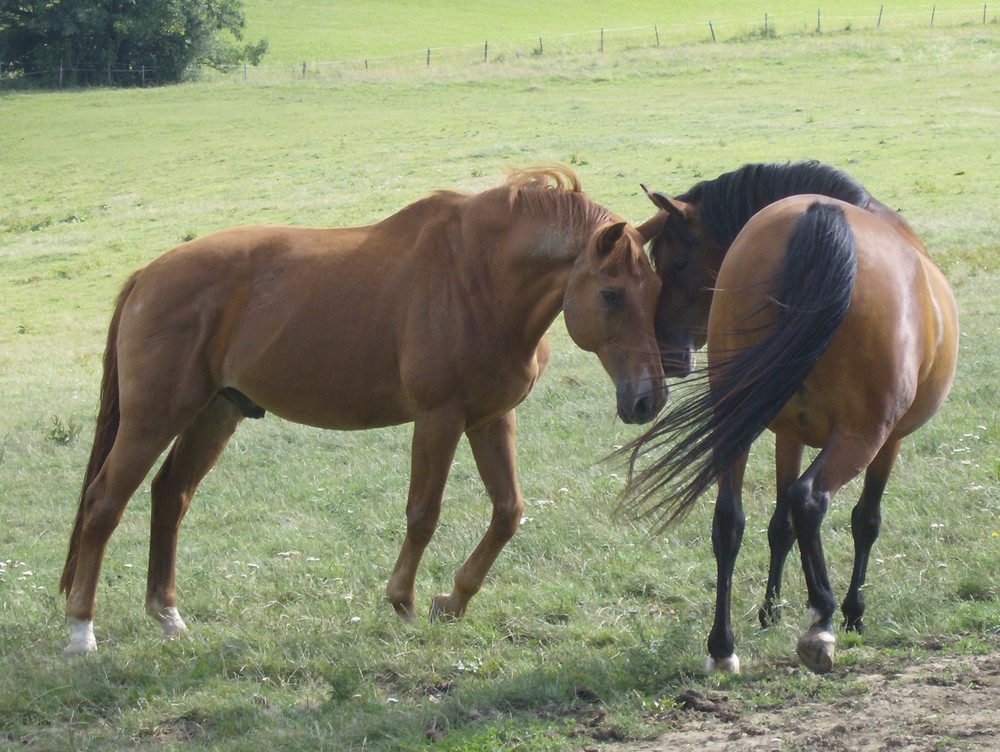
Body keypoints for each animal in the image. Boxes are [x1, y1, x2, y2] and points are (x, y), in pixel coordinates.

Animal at [58, 167, 664, 656]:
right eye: (611, 294)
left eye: (656, 288)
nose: (648, 399)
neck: (477, 276)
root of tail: (147, 275)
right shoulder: (439, 417)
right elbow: (423, 514)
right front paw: (403, 601)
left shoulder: (491, 419)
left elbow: (507, 512)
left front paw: (453, 600)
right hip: (154, 417)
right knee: (103, 504)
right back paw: (81, 631)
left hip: (214, 414)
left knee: (170, 496)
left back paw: (168, 616)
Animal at [624, 162, 960, 672]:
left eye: (674, 263)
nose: (665, 354)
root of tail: (819, 217)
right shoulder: (891, 440)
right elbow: (865, 520)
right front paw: (853, 612)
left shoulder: (787, 431)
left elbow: (778, 524)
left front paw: (770, 610)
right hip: (863, 435)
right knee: (811, 499)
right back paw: (821, 620)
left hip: (737, 419)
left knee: (729, 520)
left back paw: (722, 647)